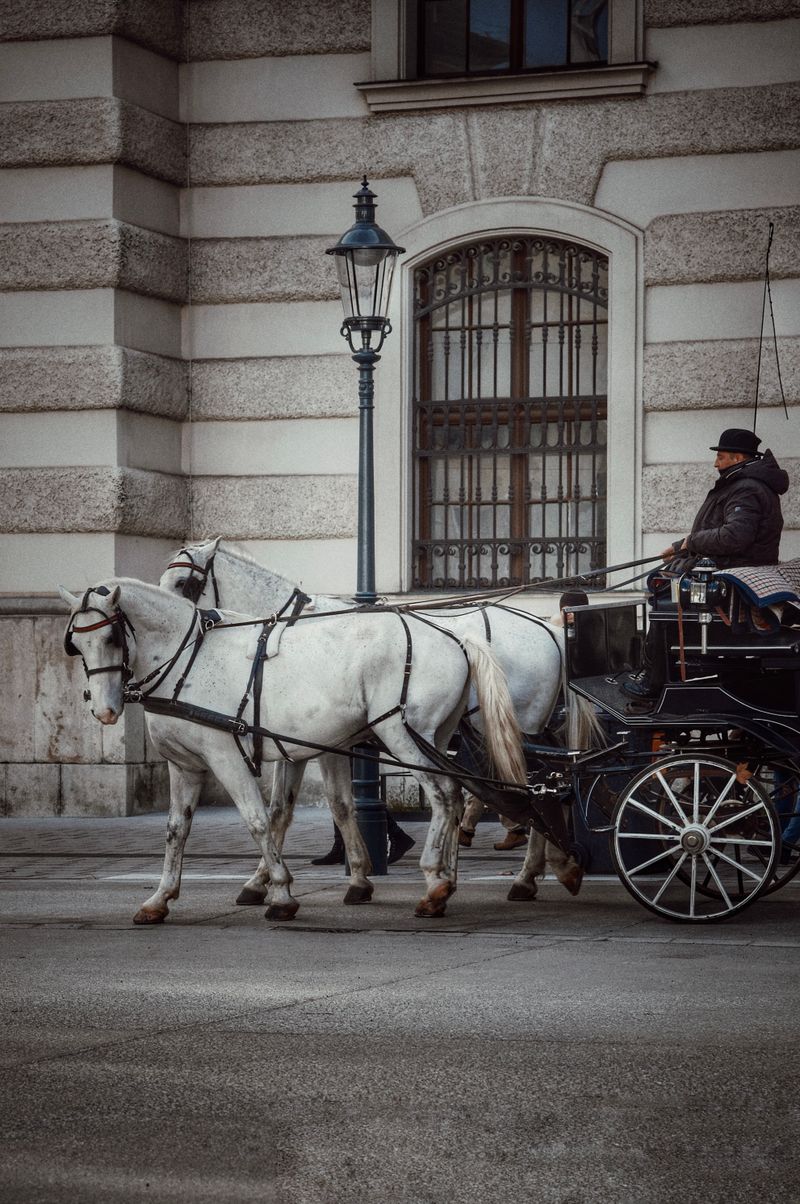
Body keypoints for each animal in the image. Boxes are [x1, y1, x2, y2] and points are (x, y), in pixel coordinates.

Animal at [60, 578, 528, 922]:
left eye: (113, 637)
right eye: (77, 645)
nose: (104, 710)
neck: (188, 660)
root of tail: (455, 634)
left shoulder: (226, 756)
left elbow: (258, 821)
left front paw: (281, 894)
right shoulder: (186, 766)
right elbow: (178, 830)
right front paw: (160, 898)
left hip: (401, 733)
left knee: (444, 795)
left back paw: (436, 882)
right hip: (434, 735)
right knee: (456, 793)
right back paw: (447, 879)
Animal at [159, 539, 603, 901]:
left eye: (183, 583)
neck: (287, 634)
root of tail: (549, 630)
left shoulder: (315, 745)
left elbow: (324, 807)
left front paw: (288, 880)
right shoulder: (298, 742)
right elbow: (294, 810)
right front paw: (275, 881)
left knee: (530, 791)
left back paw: (526, 874)